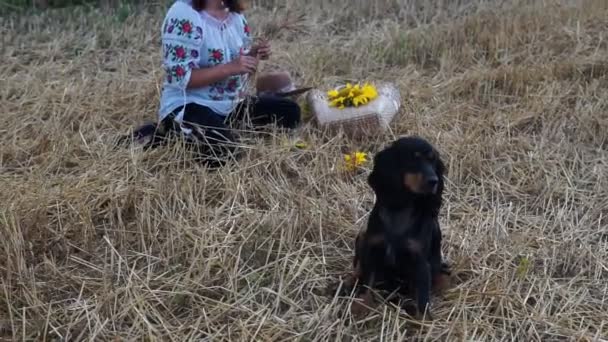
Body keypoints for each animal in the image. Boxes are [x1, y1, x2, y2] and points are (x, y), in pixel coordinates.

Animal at [344, 135, 448, 320]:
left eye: (433, 161)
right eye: (413, 159)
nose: (434, 181)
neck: (400, 209)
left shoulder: (420, 261)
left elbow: (422, 297)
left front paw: (423, 321)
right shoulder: (373, 248)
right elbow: (368, 283)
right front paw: (360, 307)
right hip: (363, 235)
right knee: (358, 267)